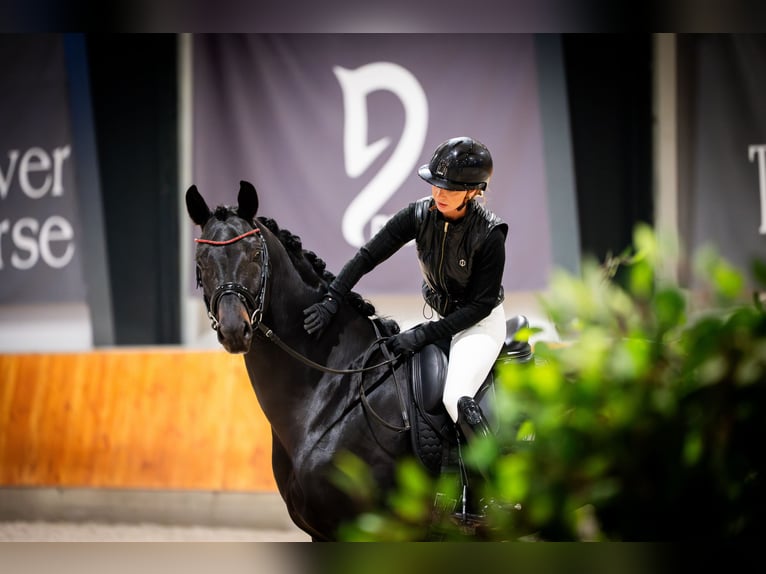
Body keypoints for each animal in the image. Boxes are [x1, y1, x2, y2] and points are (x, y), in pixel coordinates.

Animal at [186, 180, 532, 541]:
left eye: (255, 254)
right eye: (201, 260)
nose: (234, 330)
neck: (335, 390)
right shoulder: (321, 533)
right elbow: (368, 254)